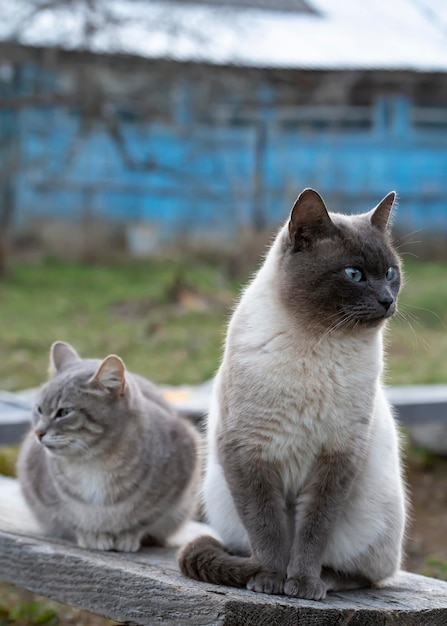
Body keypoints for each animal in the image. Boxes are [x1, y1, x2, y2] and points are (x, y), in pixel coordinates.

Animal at [17, 338, 200, 548]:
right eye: (39, 409)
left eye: (64, 412)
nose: (38, 433)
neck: (93, 463)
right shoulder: (40, 491)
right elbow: (70, 519)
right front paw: (91, 535)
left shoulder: (177, 484)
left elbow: (144, 518)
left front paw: (127, 535)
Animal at [180, 188, 408, 596]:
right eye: (354, 274)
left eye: (390, 273)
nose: (388, 300)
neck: (318, 343)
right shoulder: (249, 454)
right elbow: (267, 529)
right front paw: (270, 580)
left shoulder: (337, 460)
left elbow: (313, 531)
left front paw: (302, 583)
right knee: (248, 545)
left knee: (363, 575)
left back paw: (325, 581)